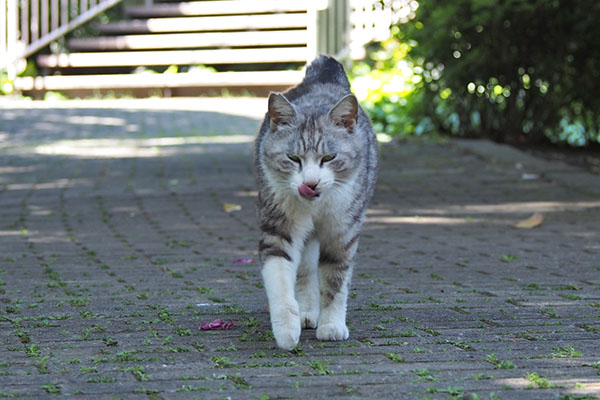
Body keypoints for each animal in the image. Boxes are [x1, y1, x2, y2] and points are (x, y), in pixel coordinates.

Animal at [254, 56, 378, 350]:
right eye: (293, 158)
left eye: (329, 157)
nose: (310, 183)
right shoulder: (278, 226)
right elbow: (280, 278)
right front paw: (286, 330)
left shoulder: (342, 232)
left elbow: (336, 280)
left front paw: (332, 326)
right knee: (306, 269)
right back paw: (307, 312)